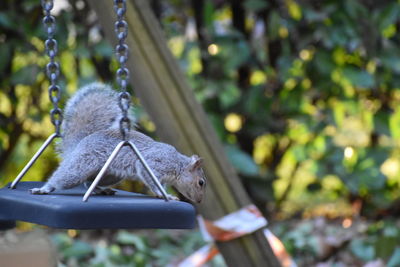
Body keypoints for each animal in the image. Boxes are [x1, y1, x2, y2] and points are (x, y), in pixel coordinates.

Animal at [28, 83, 206, 203]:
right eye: (201, 182)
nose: (199, 201)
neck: (177, 164)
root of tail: (79, 145)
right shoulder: (155, 163)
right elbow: (150, 178)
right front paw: (165, 194)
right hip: (82, 164)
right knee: (64, 178)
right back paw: (44, 189)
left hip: (110, 175)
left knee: (88, 183)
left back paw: (101, 190)